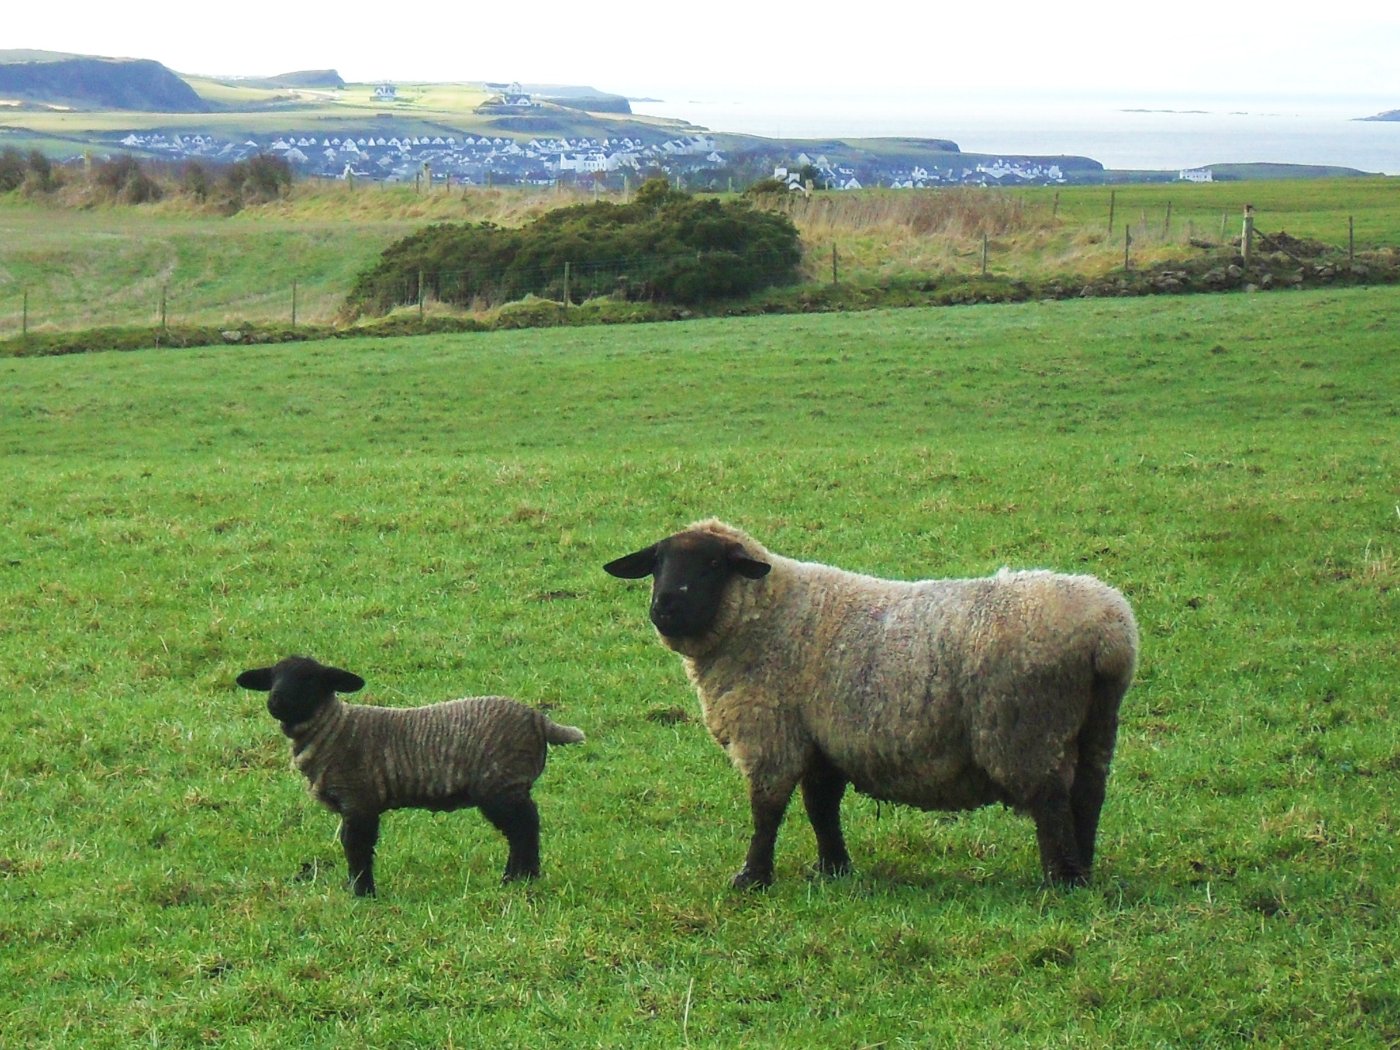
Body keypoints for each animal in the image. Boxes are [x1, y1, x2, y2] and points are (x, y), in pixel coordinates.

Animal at [236, 655, 584, 896]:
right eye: (273, 677)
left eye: (310, 680)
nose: (275, 700)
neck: (335, 728)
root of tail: (539, 719)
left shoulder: (359, 799)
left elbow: (356, 846)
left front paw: (363, 893)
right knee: (520, 829)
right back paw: (520, 877)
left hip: (501, 783)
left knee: (524, 827)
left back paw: (519, 878)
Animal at [604, 519, 1137, 891]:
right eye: (657, 563)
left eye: (714, 564)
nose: (665, 606)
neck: (766, 616)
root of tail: (1109, 634)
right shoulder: (820, 737)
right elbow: (820, 805)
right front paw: (833, 868)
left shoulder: (772, 732)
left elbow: (767, 809)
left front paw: (752, 878)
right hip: (1096, 725)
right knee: (1088, 795)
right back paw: (1083, 870)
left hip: (1025, 727)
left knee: (1050, 801)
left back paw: (1060, 880)